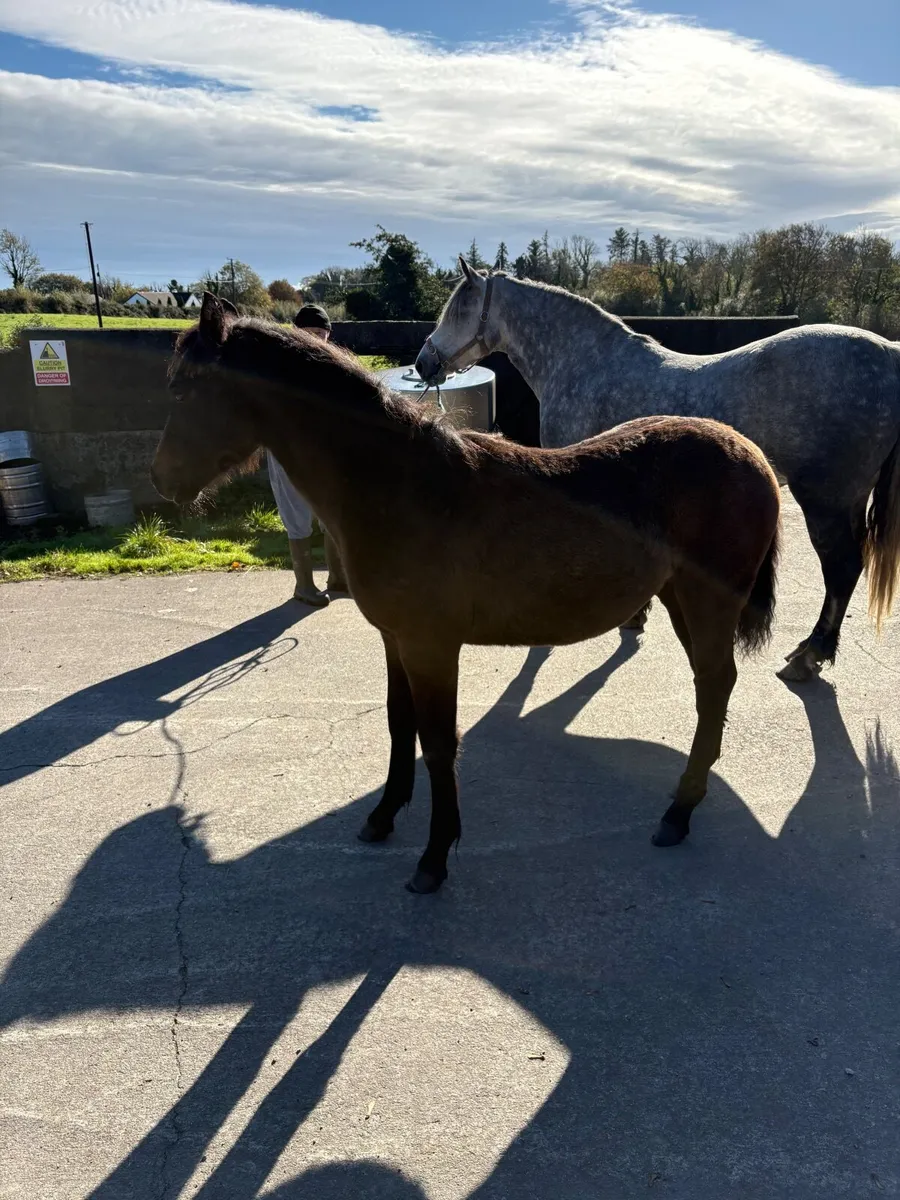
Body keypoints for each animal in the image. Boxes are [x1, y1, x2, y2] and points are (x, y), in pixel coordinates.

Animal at [151, 292, 780, 894]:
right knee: (711, 683)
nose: (163, 481)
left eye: (184, 390)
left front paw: (433, 859)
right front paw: (382, 818)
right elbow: (399, 724)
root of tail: (749, 451)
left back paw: (678, 813)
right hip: (680, 598)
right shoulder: (396, 640)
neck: (402, 486)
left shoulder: (432, 646)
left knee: (714, 684)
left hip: (709, 602)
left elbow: (437, 742)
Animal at [415, 259, 900, 682]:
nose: (423, 363)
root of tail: (887, 354)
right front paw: (635, 617)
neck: (585, 363)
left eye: (459, 307)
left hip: (824, 499)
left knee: (841, 568)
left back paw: (809, 656)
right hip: (849, 498)